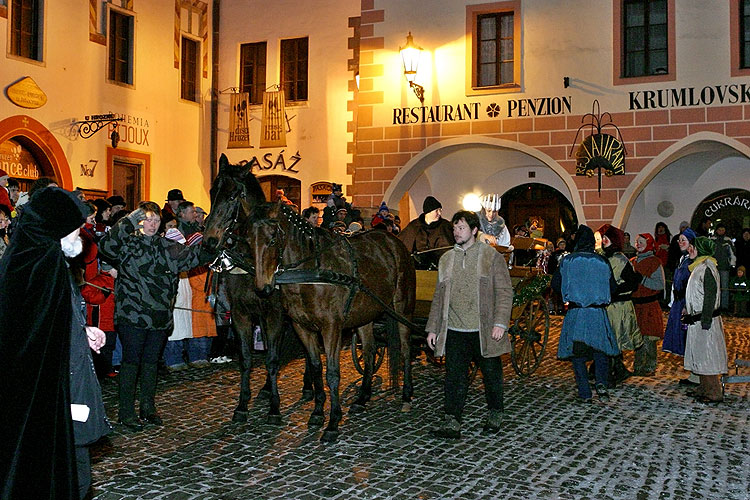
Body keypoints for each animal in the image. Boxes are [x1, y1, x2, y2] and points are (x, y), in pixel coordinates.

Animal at [203, 156, 312, 426]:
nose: (209, 240)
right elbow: (246, 358)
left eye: (233, 195)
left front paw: (274, 408)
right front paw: (242, 405)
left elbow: (272, 358)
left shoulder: (274, 315)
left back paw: (308, 385)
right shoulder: (242, 315)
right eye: (212, 191)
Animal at [251, 199, 418, 442]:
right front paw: (318, 412)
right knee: (370, 351)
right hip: (365, 315)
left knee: (405, 348)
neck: (311, 275)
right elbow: (315, 367)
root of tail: (395, 242)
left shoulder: (331, 328)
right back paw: (362, 397)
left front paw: (333, 422)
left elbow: (332, 372)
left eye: (272, 239)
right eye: (248, 239)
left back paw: (406, 395)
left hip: (402, 308)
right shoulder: (302, 328)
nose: (263, 287)